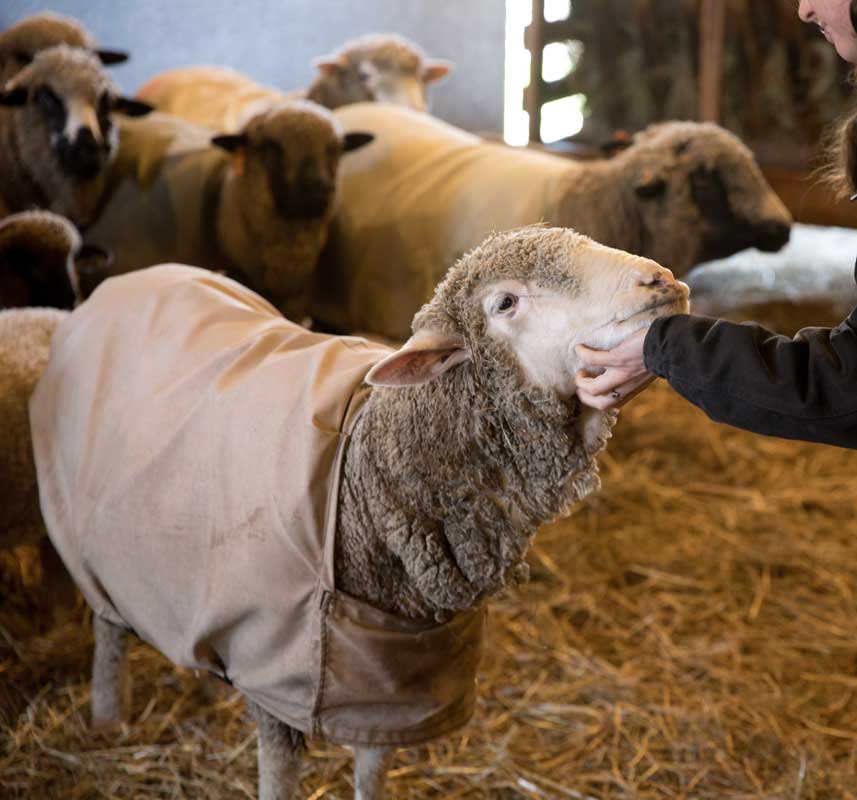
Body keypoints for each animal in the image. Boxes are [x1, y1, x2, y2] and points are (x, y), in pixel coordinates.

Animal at [28, 226, 690, 799]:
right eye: (505, 303)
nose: (660, 280)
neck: (366, 476)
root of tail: (125, 282)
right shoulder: (281, 681)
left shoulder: (393, 690)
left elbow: (371, 775)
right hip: (94, 548)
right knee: (108, 631)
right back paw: (108, 721)